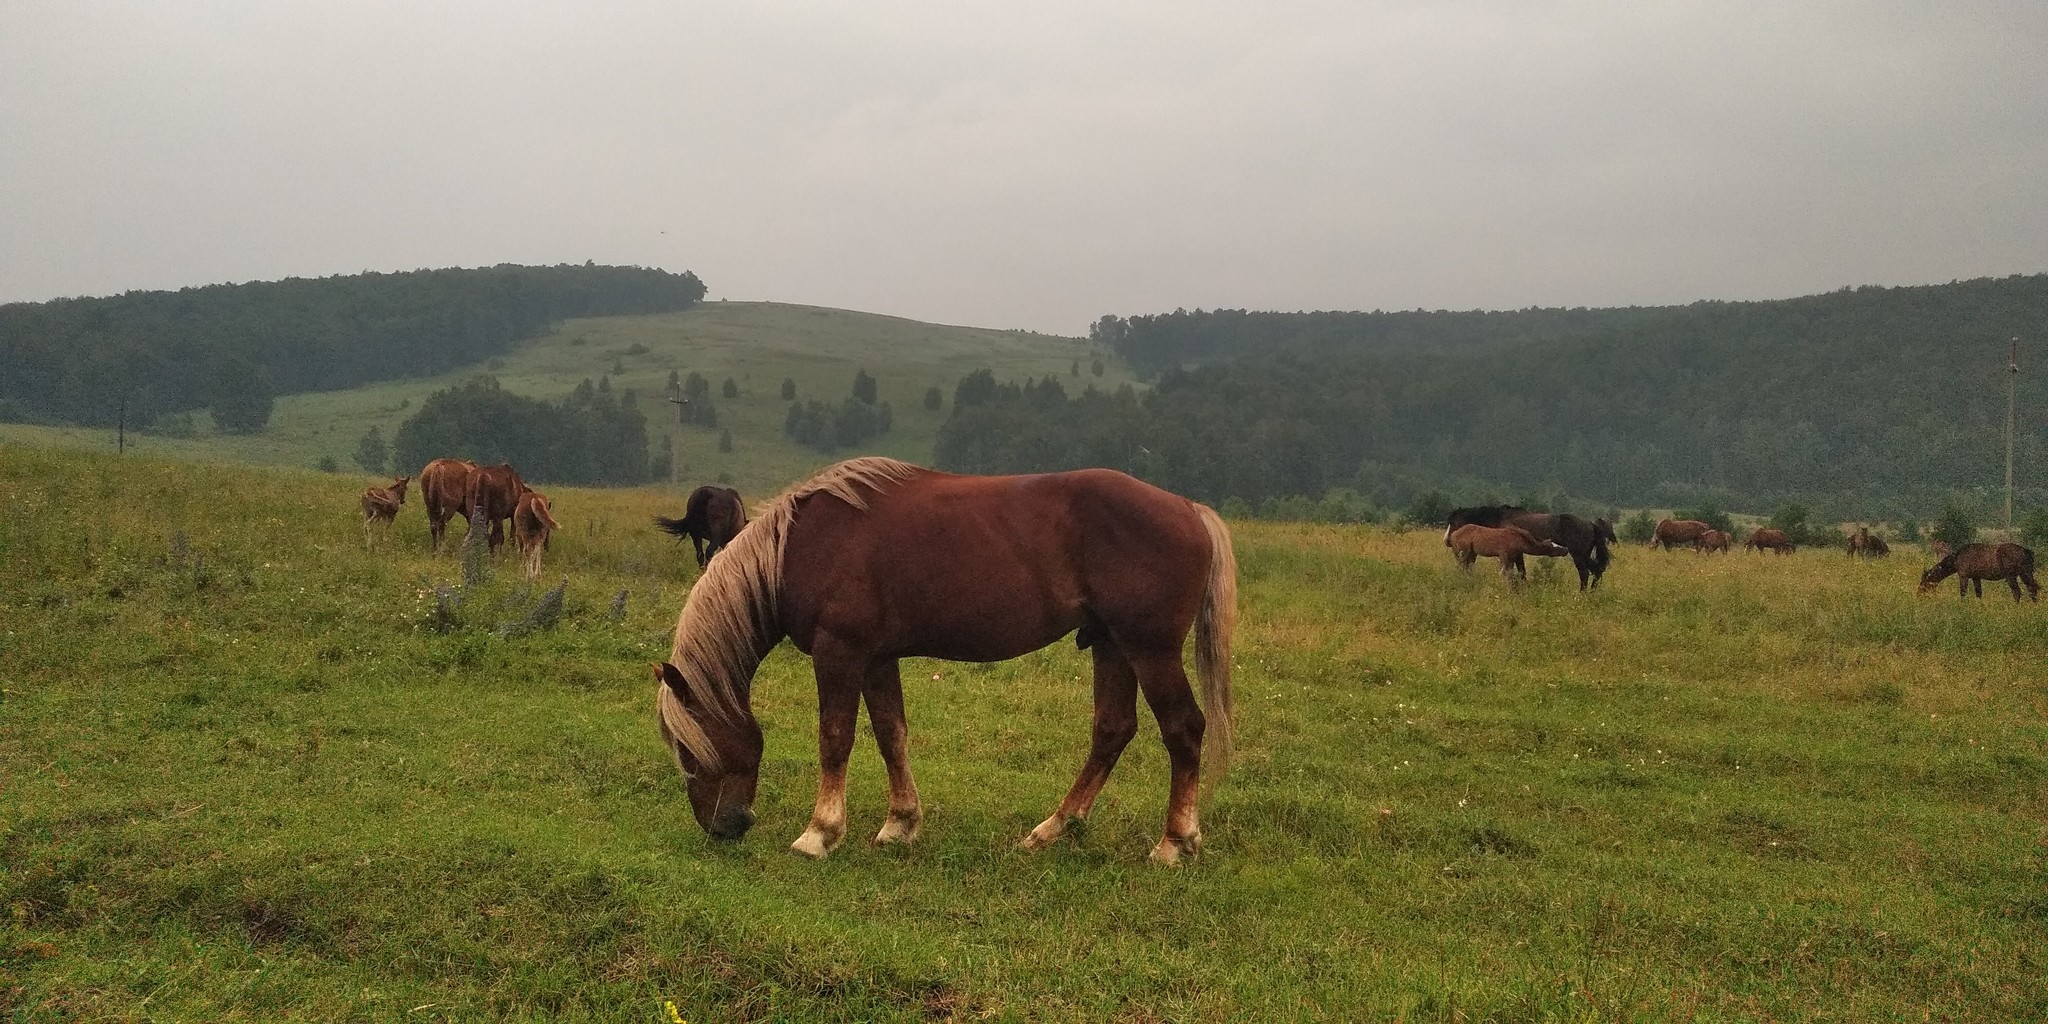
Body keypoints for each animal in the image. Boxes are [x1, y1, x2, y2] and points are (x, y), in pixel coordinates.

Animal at [651, 456, 1228, 864]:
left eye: (687, 749)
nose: (723, 827)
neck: (798, 547)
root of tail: (1189, 508)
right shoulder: (877, 658)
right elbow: (891, 734)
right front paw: (899, 824)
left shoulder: (839, 652)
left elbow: (835, 739)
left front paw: (820, 833)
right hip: (1111, 644)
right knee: (1112, 730)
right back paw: (1053, 830)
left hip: (1149, 649)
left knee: (1183, 729)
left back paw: (1175, 841)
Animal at [1441, 505, 1613, 593]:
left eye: (1453, 522)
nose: (1450, 541)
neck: (1500, 518)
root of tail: (1591, 524)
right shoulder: (1517, 553)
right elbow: (1521, 572)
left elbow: (1519, 572)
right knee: (1596, 570)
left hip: (1578, 554)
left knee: (1586, 573)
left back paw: (1583, 594)